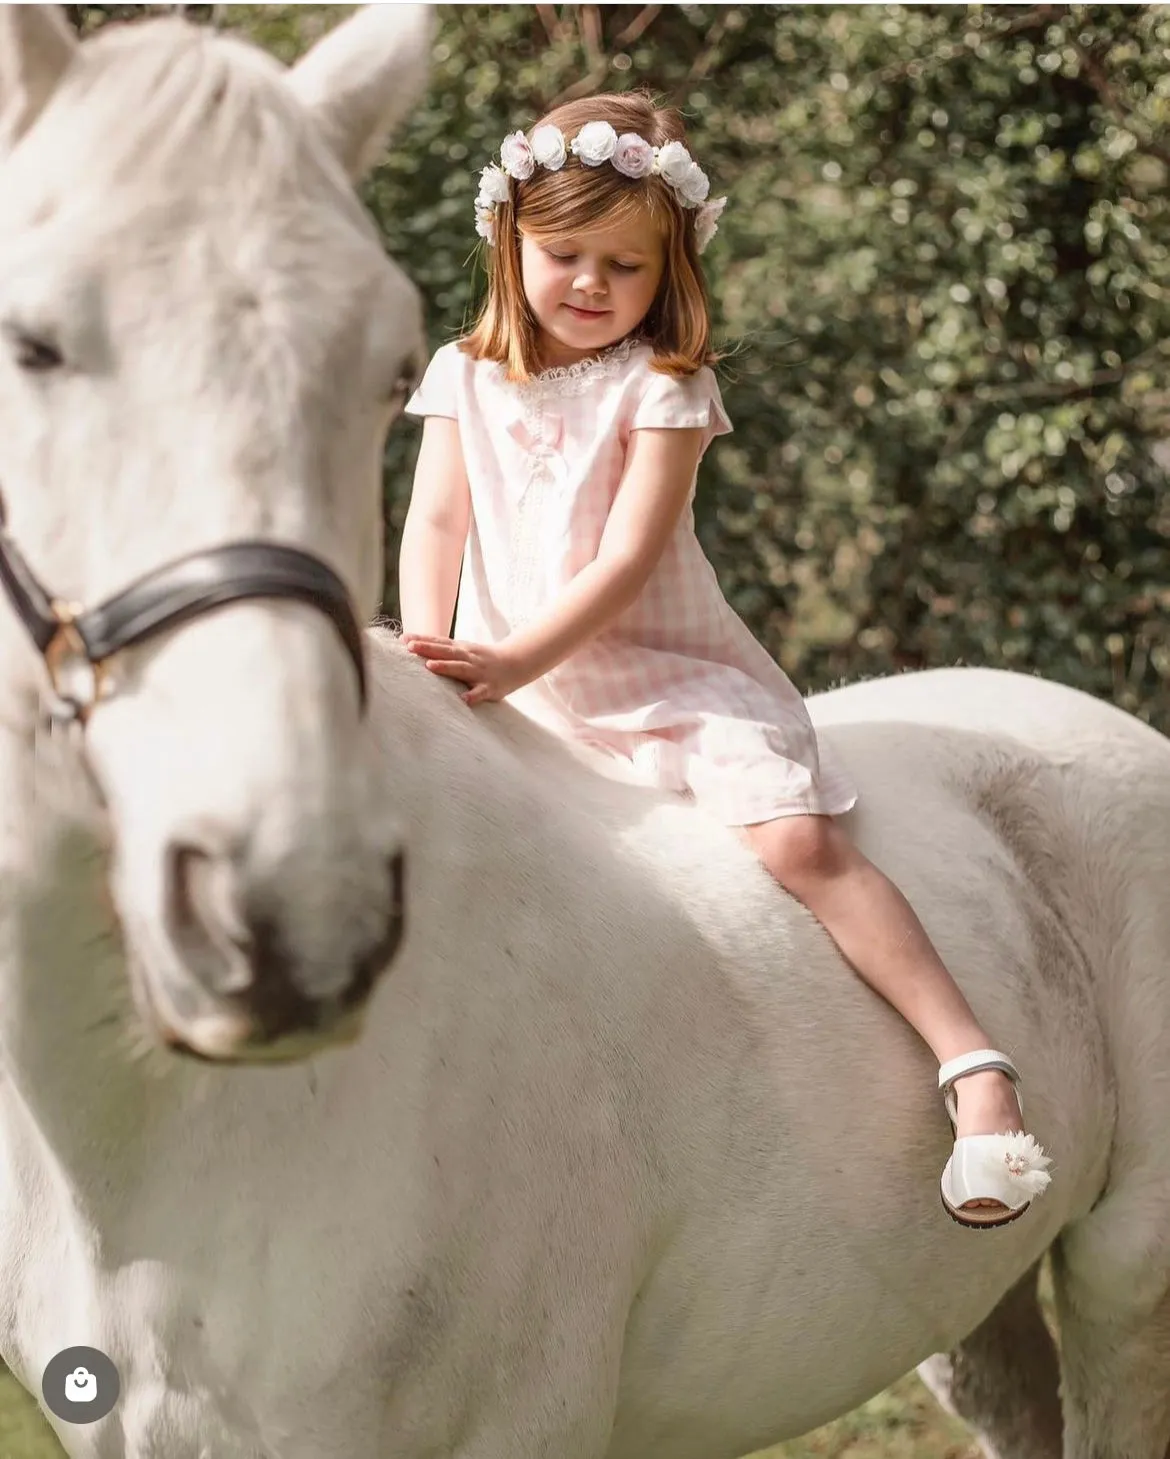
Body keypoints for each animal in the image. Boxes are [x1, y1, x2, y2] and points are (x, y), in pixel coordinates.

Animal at [2, 2, 1167, 1459]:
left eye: (383, 364)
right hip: (976, 1315)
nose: (289, 915)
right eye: (32, 342)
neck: (167, 1127)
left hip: (1125, 1278)